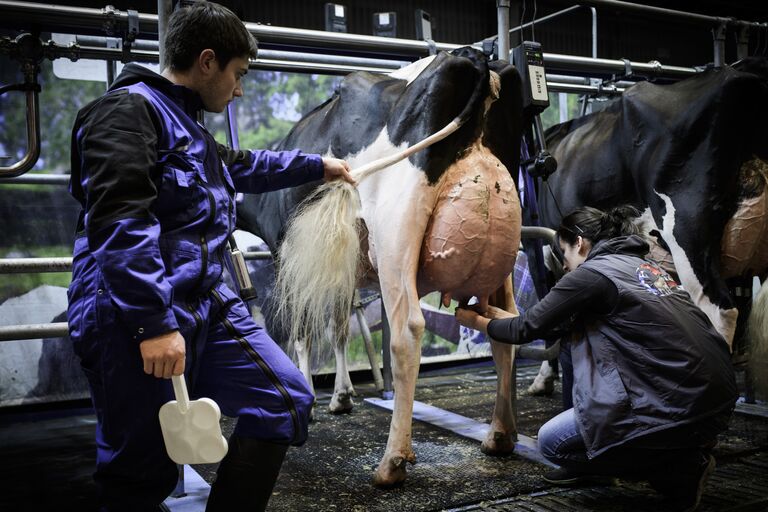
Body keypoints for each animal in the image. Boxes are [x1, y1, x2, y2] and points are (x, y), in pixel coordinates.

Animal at [238, 49, 528, 488]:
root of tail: (477, 59)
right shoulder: (343, 269)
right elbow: (339, 328)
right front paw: (341, 396)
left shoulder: (287, 257)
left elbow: (303, 332)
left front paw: (311, 394)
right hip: (502, 252)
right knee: (504, 323)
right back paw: (500, 435)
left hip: (394, 235)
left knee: (407, 331)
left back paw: (392, 462)